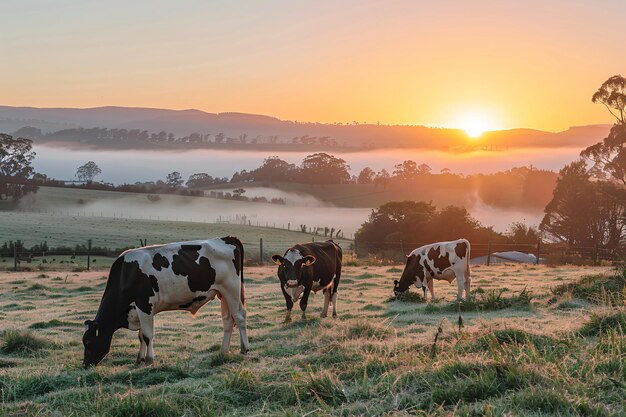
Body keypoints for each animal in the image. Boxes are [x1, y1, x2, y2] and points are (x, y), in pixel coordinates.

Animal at [81, 236, 247, 366]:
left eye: (88, 341)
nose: (85, 365)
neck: (125, 275)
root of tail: (226, 238)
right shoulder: (140, 310)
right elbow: (141, 336)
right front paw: (139, 359)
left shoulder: (144, 304)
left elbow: (147, 335)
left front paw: (149, 359)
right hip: (222, 293)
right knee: (228, 320)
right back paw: (223, 351)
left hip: (231, 288)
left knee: (239, 316)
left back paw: (244, 349)